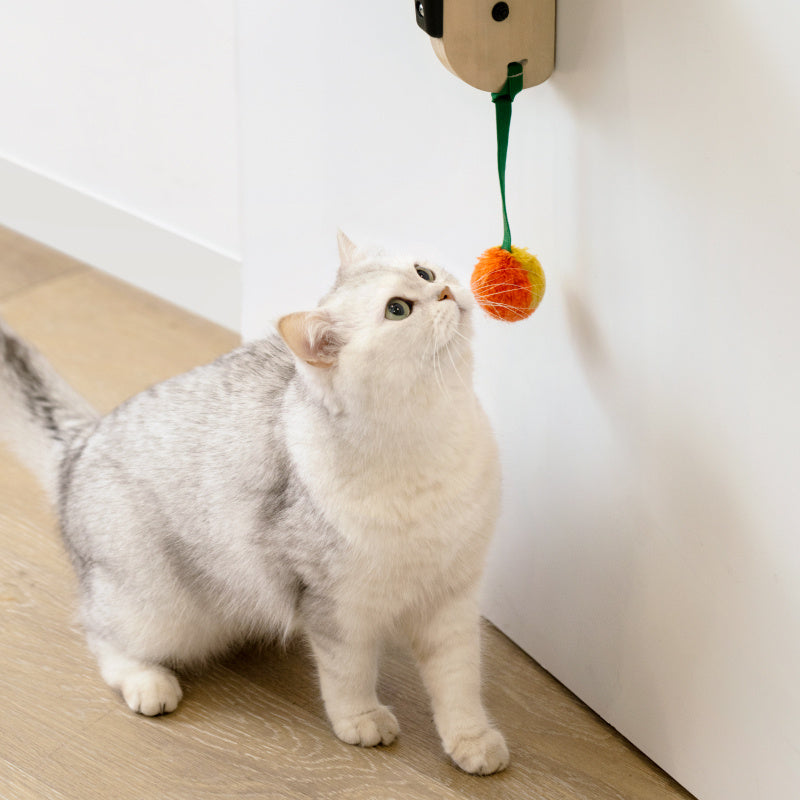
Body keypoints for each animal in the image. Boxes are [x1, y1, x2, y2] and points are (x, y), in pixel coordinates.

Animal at [0, 233, 510, 776]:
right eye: (398, 309)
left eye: (424, 273)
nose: (446, 292)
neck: (431, 436)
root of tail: (80, 443)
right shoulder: (335, 606)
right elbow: (347, 674)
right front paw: (361, 720)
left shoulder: (453, 597)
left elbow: (459, 682)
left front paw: (472, 741)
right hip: (157, 606)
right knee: (101, 636)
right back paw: (148, 683)